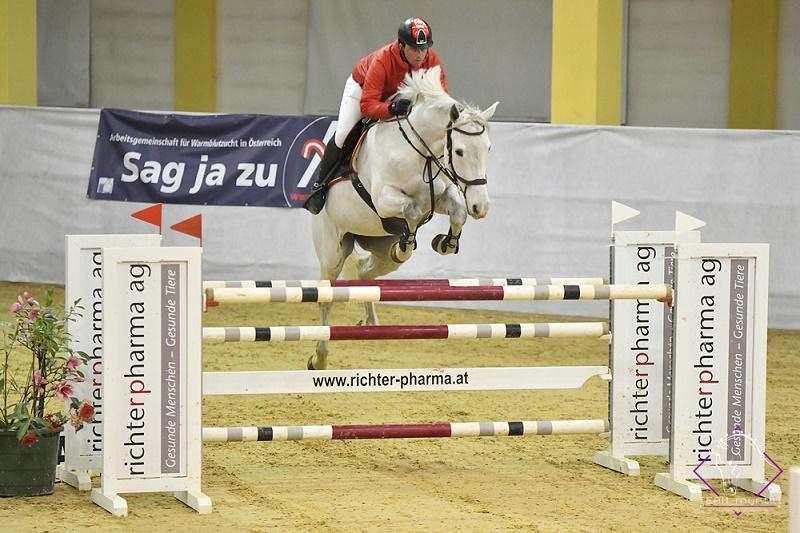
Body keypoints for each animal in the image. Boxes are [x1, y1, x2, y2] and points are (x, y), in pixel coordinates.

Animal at [310, 64, 496, 368]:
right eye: (459, 151)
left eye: (488, 148)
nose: (481, 207)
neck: (419, 152)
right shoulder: (385, 199)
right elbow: (410, 209)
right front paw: (407, 239)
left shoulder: (439, 195)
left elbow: (457, 210)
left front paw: (445, 242)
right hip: (331, 252)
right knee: (327, 297)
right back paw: (320, 358)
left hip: (378, 250)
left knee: (365, 274)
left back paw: (371, 320)